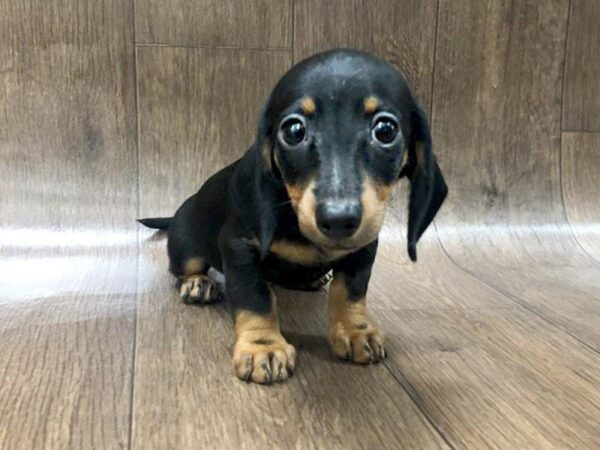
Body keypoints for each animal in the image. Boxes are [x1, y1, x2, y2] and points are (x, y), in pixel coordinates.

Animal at [141, 51, 448, 384]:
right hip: (187, 247)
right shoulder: (238, 246)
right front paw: (263, 346)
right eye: (293, 131)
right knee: (186, 267)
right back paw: (198, 283)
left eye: (386, 130)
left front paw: (355, 330)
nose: (338, 219)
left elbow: (350, 292)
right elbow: (255, 297)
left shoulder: (363, 249)